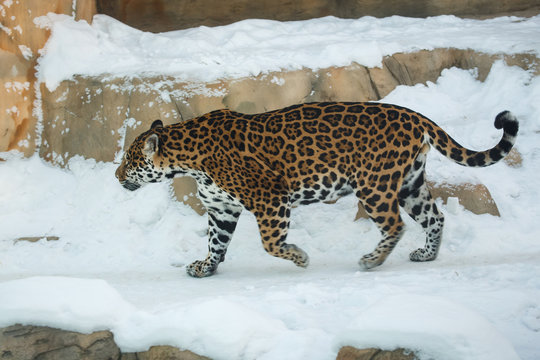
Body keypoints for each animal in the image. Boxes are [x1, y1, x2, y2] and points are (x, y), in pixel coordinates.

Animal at [115, 102, 520, 278]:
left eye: (130, 159)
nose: (117, 175)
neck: (186, 160)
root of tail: (413, 115)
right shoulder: (221, 208)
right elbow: (216, 241)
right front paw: (206, 266)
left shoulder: (269, 198)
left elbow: (271, 243)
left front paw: (300, 257)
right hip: (409, 182)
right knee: (433, 216)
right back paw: (427, 255)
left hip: (374, 185)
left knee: (395, 225)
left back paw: (372, 261)